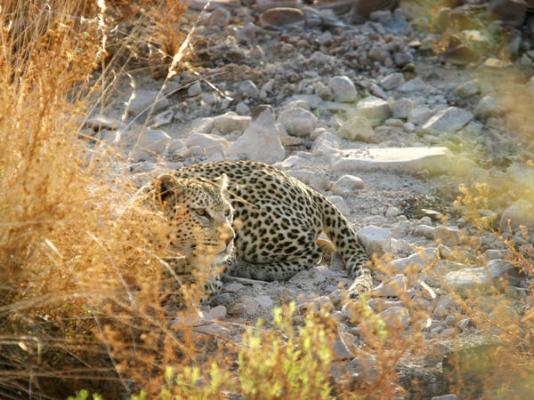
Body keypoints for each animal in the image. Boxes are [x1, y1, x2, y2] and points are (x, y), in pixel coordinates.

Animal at [150, 160, 372, 296]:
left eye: (228, 212)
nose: (230, 238)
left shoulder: (209, 278)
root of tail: (303, 186)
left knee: (313, 252)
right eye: (201, 212)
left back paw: (250, 269)